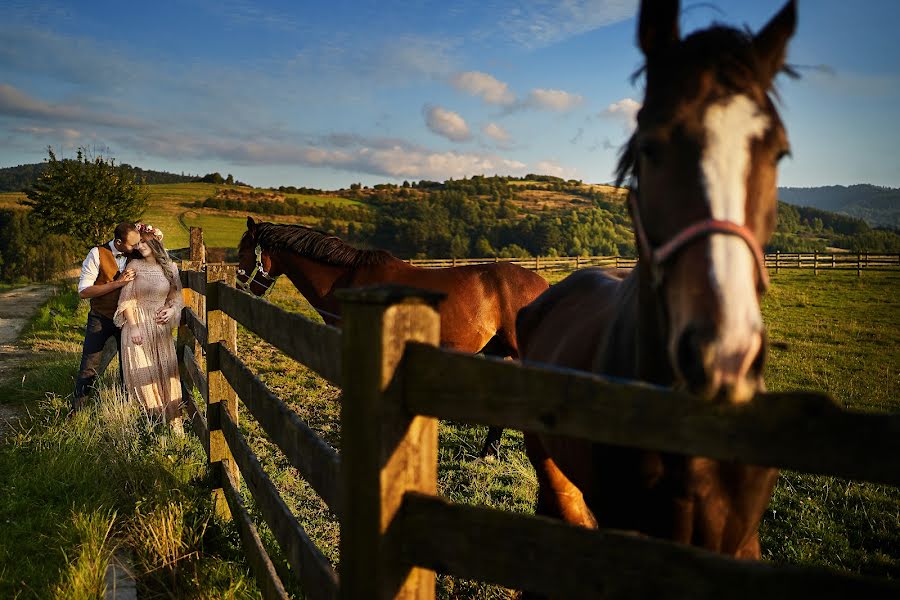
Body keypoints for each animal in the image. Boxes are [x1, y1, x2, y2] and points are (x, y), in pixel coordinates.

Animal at [237, 218, 548, 458]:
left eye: (242, 252)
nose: (243, 286)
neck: (347, 280)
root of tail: (543, 285)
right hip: (497, 351)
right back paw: (488, 453)